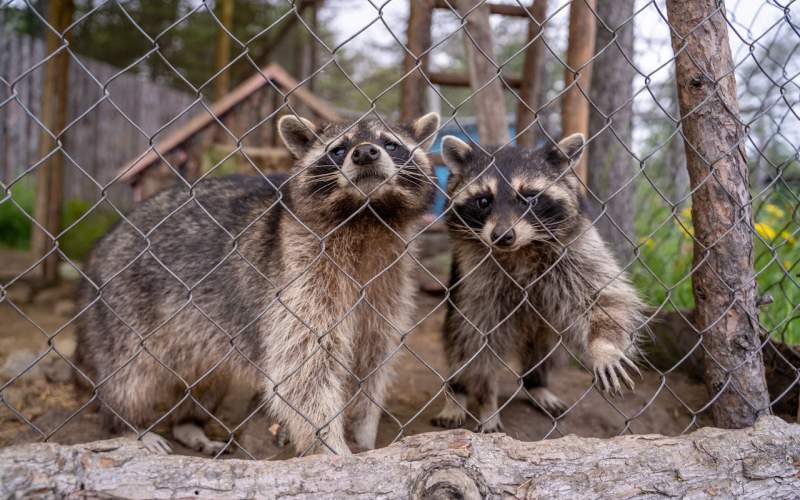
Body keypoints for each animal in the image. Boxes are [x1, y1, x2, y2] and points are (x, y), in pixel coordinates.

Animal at [74, 112, 440, 456]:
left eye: (390, 143)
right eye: (338, 150)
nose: (365, 152)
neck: (366, 218)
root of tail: (102, 246)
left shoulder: (388, 279)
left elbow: (373, 357)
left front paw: (365, 430)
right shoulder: (298, 276)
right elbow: (303, 370)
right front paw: (331, 448)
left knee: (205, 379)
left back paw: (188, 423)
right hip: (124, 307)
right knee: (130, 377)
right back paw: (127, 423)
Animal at [431, 134, 644, 433]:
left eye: (529, 198)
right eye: (483, 201)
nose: (502, 236)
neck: (520, 249)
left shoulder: (576, 248)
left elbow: (603, 296)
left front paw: (605, 347)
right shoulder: (475, 278)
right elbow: (478, 339)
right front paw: (487, 402)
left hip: (544, 328)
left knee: (545, 349)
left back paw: (536, 383)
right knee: (459, 343)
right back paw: (457, 393)